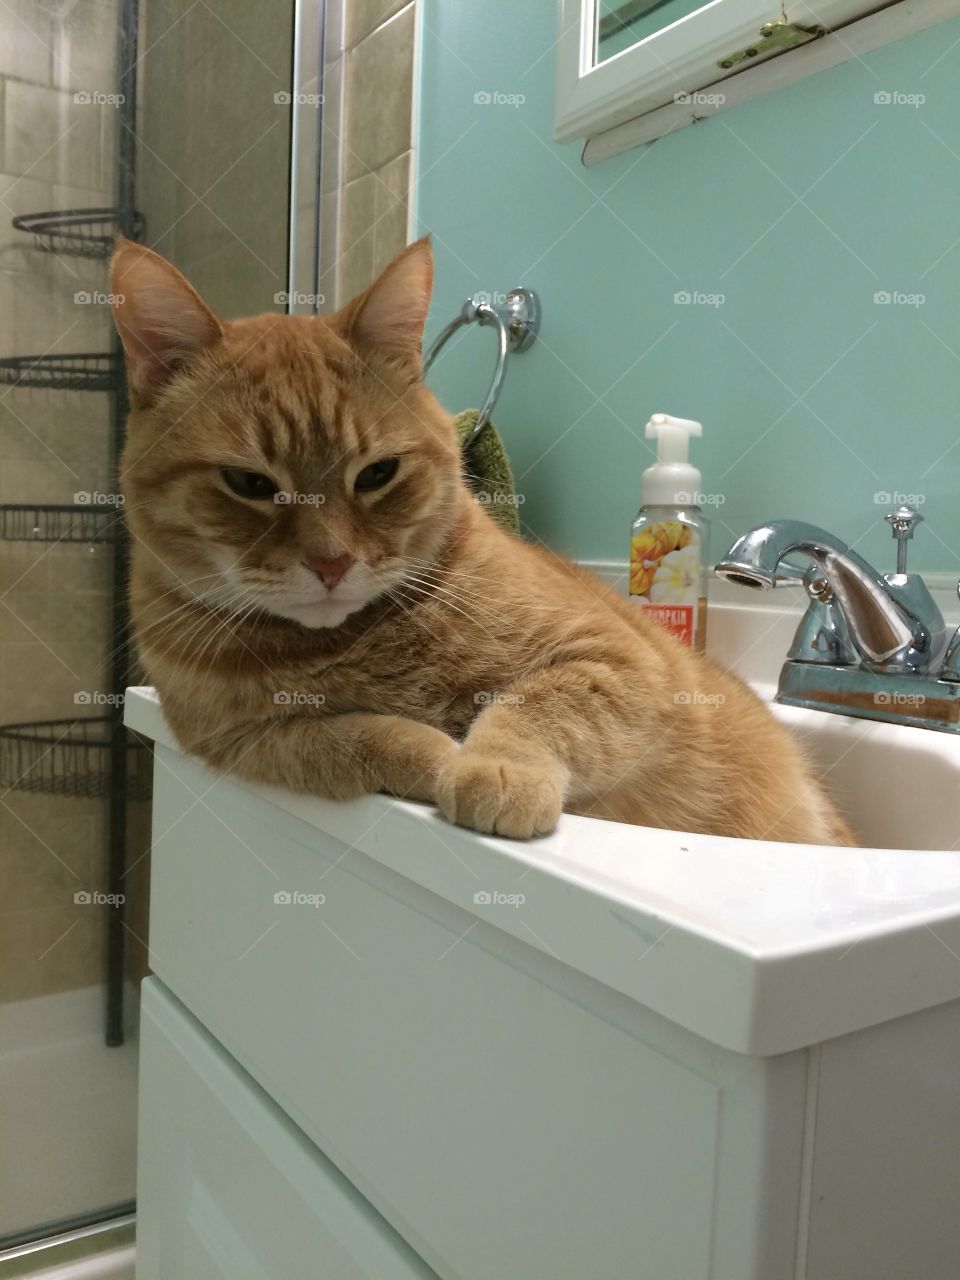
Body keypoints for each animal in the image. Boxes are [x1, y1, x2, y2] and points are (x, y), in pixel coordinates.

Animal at [108, 236, 855, 844]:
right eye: (249, 483)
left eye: (376, 474)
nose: (332, 562)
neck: (349, 644)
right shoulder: (247, 742)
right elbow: (358, 738)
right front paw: (440, 753)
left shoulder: (613, 661)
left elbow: (529, 707)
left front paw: (491, 766)